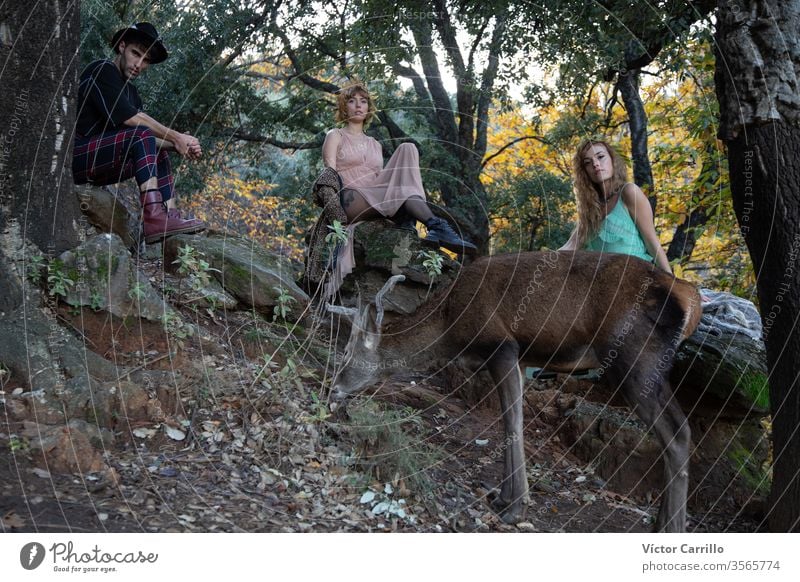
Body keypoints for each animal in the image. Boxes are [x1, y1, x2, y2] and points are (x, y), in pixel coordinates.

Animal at [324, 251, 700, 532]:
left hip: (635, 357)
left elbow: (510, 421)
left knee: (678, 432)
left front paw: (514, 508)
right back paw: (660, 523)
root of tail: (690, 299)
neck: (451, 325)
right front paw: (505, 497)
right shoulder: (520, 358)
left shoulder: (500, 345)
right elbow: (515, 419)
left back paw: (671, 528)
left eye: (347, 354)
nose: (334, 389)